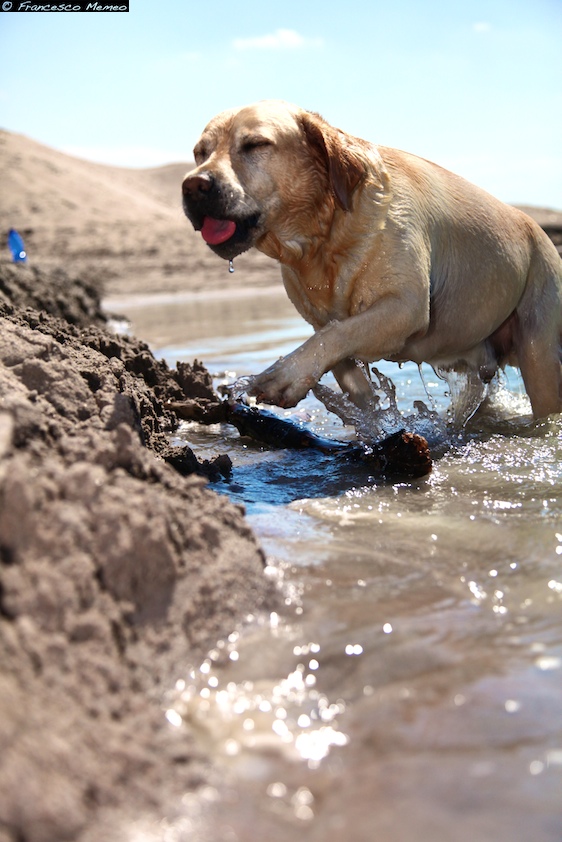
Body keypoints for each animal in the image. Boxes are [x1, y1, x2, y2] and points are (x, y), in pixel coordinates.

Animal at [182, 99, 556, 420]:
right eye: (200, 152)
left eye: (256, 144)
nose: (193, 185)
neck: (325, 238)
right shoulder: (323, 324)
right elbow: (340, 355)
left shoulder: (405, 307)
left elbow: (338, 333)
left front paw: (283, 374)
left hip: (541, 355)